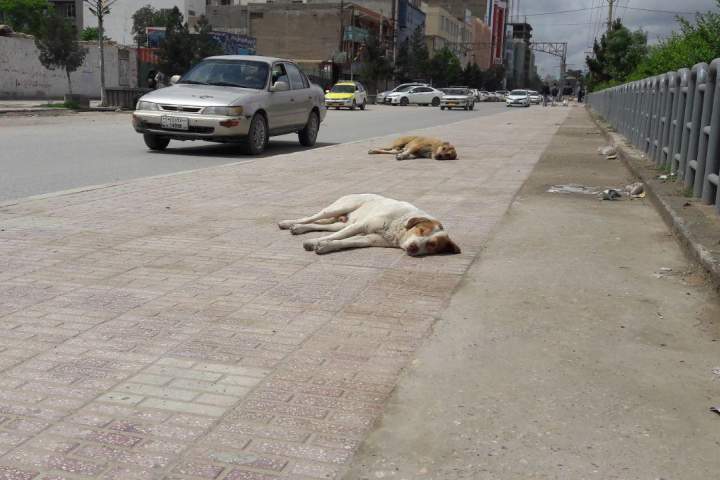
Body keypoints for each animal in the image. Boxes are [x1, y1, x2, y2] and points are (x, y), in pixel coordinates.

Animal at [276, 194, 462, 256]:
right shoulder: (361, 226)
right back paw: (288, 223)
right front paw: (314, 242)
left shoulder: (369, 239)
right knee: (312, 217)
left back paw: (299, 229)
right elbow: (337, 237)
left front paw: (325, 246)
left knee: (319, 225)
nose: (414, 248)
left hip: (343, 222)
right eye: (421, 230)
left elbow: (345, 241)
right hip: (339, 207)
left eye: (432, 245)